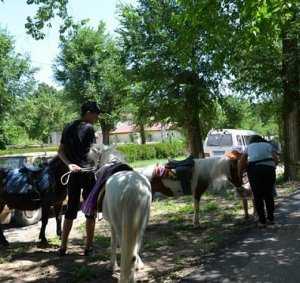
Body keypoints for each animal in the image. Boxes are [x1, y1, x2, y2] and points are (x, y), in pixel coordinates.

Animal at [88, 145, 151, 282]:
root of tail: (131, 187)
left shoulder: (112, 224)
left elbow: (113, 243)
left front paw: (112, 266)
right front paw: (139, 265)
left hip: (118, 223)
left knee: (124, 247)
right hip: (142, 222)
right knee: (134, 249)